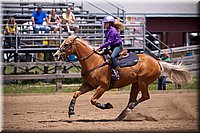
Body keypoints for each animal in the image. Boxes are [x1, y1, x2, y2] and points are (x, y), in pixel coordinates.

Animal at [53, 35, 192, 120]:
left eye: (66, 44)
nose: (55, 55)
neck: (94, 62)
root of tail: (157, 62)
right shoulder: (88, 85)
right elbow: (76, 94)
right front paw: (71, 110)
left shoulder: (103, 86)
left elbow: (93, 100)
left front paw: (106, 105)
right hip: (136, 84)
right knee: (133, 98)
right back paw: (123, 114)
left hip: (143, 82)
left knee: (145, 96)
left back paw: (129, 108)